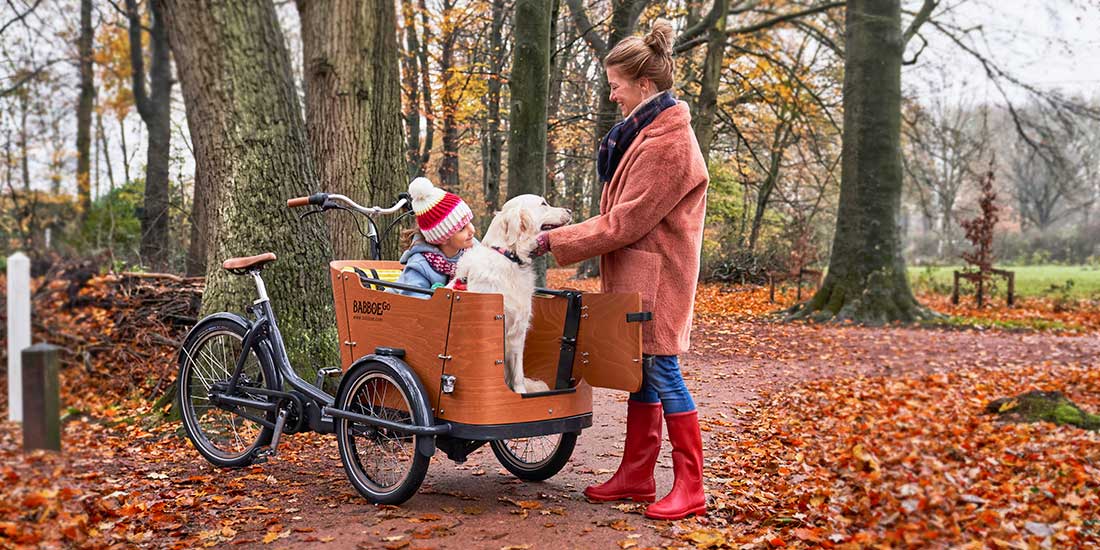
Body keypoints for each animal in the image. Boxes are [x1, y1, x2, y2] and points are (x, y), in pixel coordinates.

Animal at [455, 195, 576, 393]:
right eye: (543, 204)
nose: (570, 210)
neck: (509, 257)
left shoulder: (519, 332)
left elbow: (518, 374)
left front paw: (520, 395)